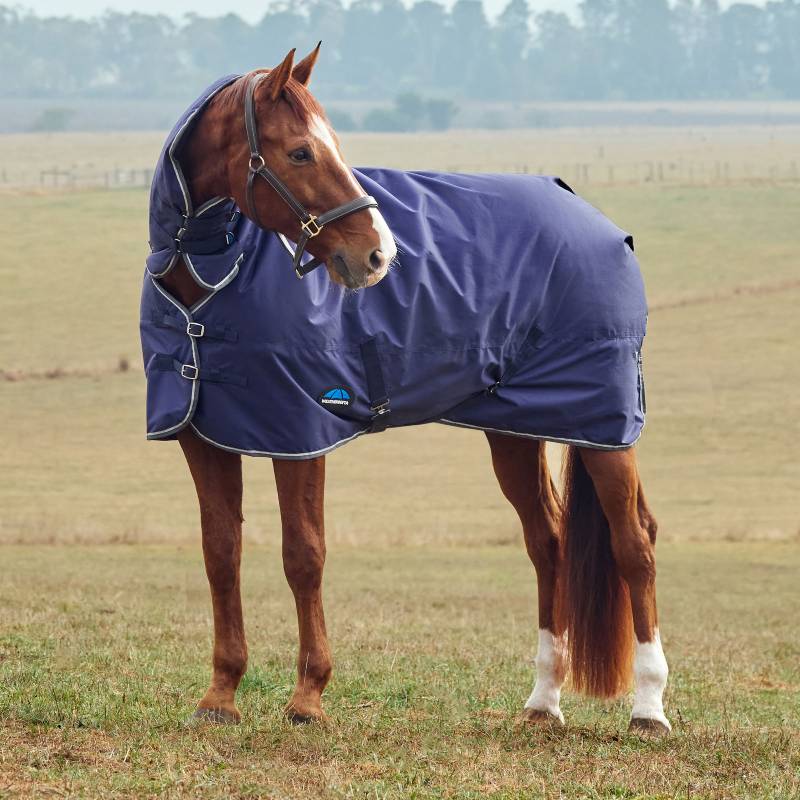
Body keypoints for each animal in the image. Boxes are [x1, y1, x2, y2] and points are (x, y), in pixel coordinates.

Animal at [148, 45, 671, 737]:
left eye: (332, 145)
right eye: (300, 152)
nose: (378, 254)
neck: (210, 281)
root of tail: (597, 219)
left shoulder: (301, 434)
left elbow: (303, 555)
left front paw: (308, 697)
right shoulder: (203, 437)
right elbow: (220, 554)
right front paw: (220, 696)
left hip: (604, 426)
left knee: (634, 542)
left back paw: (649, 708)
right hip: (517, 431)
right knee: (549, 544)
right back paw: (543, 702)